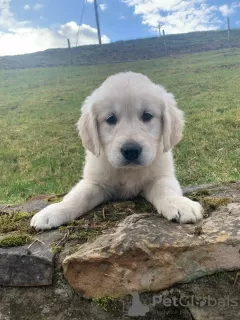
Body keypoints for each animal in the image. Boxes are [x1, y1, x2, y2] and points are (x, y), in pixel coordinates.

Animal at [30, 72, 202, 230]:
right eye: (110, 119)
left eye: (147, 115)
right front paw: (54, 211)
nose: (131, 150)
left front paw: (179, 204)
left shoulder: (161, 175)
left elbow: (165, 189)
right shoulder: (95, 181)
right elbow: (78, 196)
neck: (128, 172)